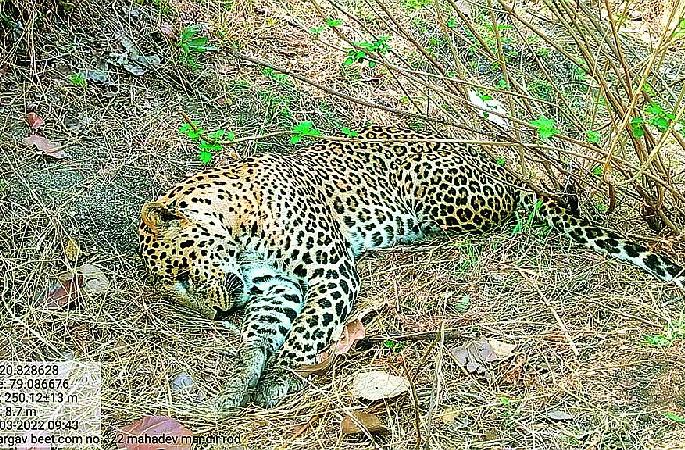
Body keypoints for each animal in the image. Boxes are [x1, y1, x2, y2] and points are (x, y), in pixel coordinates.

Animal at [138, 125, 684, 409]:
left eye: (183, 276)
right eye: (179, 290)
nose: (217, 312)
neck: (239, 228)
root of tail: (508, 174)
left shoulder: (331, 271)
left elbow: (302, 337)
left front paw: (280, 377)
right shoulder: (277, 287)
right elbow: (262, 332)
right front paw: (243, 378)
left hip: (439, 200)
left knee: (503, 218)